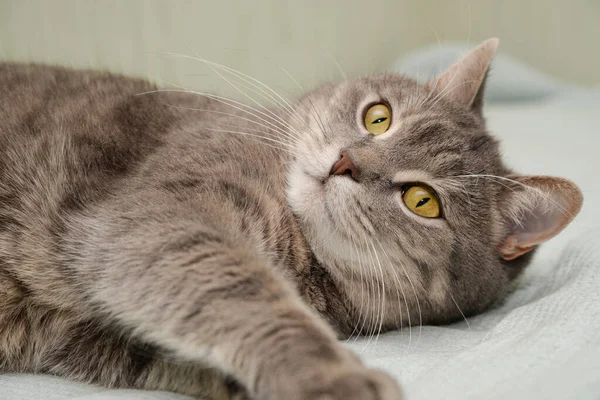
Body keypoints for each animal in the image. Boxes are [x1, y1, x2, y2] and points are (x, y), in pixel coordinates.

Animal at [0, 38, 580, 400]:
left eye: (422, 201)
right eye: (379, 116)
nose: (346, 162)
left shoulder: (90, 338)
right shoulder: (166, 218)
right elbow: (248, 298)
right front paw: (331, 377)